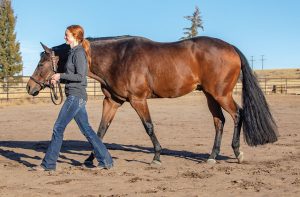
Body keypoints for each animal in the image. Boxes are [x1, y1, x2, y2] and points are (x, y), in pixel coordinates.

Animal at [27, 35, 278, 165]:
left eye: (42, 63)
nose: (30, 87)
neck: (117, 58)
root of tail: (231, 48)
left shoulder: (138, 100)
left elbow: (148, 126)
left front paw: (157, 156)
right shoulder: (112, 102)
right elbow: (100, 130)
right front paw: (91, 158)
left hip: (221, 94)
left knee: (237, 115)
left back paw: (237, 152)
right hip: (210, 95)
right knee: (219, 121)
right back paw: (212, 157)